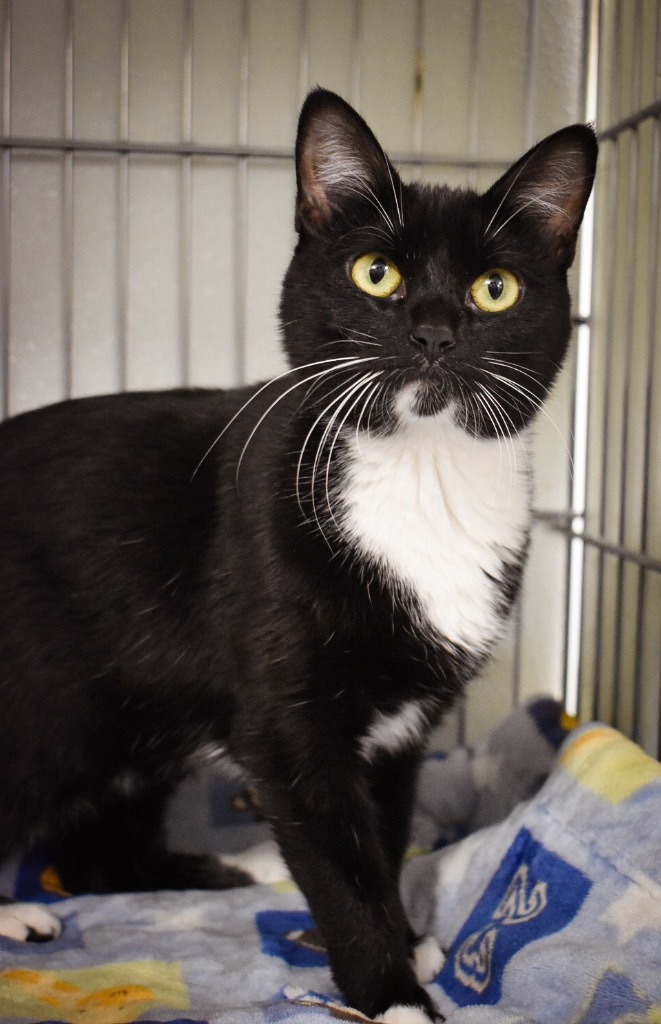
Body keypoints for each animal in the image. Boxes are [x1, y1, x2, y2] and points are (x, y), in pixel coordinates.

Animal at [0, 92, 597, 1019]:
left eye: (493, 289)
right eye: (375, 274)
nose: (433, 332)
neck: (419, 477)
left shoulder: (400, 723)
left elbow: (379, 835)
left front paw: (405, 940)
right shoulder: (287, 723)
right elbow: (337, 858)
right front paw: (391, 993)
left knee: (98, 852)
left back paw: (239, 867)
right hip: (48, 704)